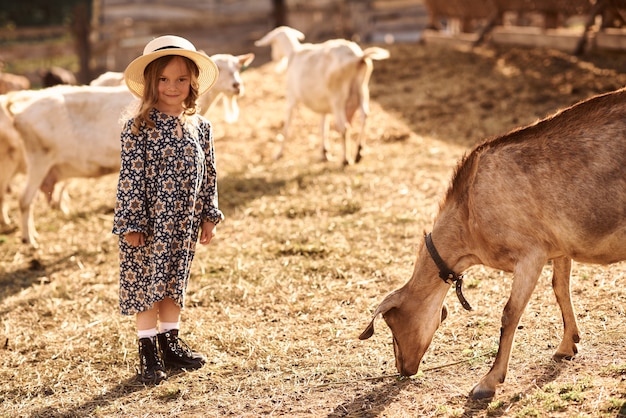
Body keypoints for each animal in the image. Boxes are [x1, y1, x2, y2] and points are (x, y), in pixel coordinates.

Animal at [252, 24, 386, 167]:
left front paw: (278, 154)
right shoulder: (324, 105)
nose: (274, 57)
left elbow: (286, 128)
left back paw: (346, 159)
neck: (293, 53)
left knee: (344, 127)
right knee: (364, 117)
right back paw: (359, 152)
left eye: (273, 44)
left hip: (338, 98)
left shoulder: (291, 97)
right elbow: (323, 127)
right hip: (362, 91)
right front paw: (324, 153)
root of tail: (358, 58)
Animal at [358, 87, 624, 398]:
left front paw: (488, 382)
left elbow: (510, 313)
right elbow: (560, 288)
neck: (469, 211)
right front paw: (567, 345)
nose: (404, 368)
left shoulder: (530, 253)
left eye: (391, 324)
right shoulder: (559, 244)